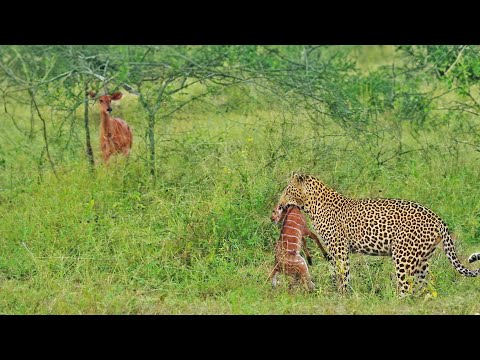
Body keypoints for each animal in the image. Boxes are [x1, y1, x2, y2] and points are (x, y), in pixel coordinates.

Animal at [276, 173, 480, 296]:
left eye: (287, 190)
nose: (279, 204)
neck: (312, 205)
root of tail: (437, 218)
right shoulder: (333, 250)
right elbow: (335, 273)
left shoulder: (340, 249)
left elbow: (343, 275)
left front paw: (343, 296)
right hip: (421, 259)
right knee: (421, 285)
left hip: (403, 256)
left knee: (406, 286)